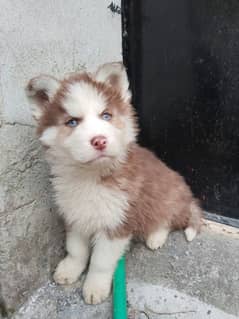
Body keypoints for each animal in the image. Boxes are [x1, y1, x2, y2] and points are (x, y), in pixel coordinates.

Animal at [25, 62, 202, 304]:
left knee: (168, 219)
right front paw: (70, 269)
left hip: (167, 196)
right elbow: (76, 249)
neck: (90, 178)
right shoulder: (75, 214)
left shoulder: (118, 222)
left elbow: (100, 261)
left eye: (106, 115)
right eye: (72, 122)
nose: (99, 141)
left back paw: (155, 236)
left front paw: (95, 286)